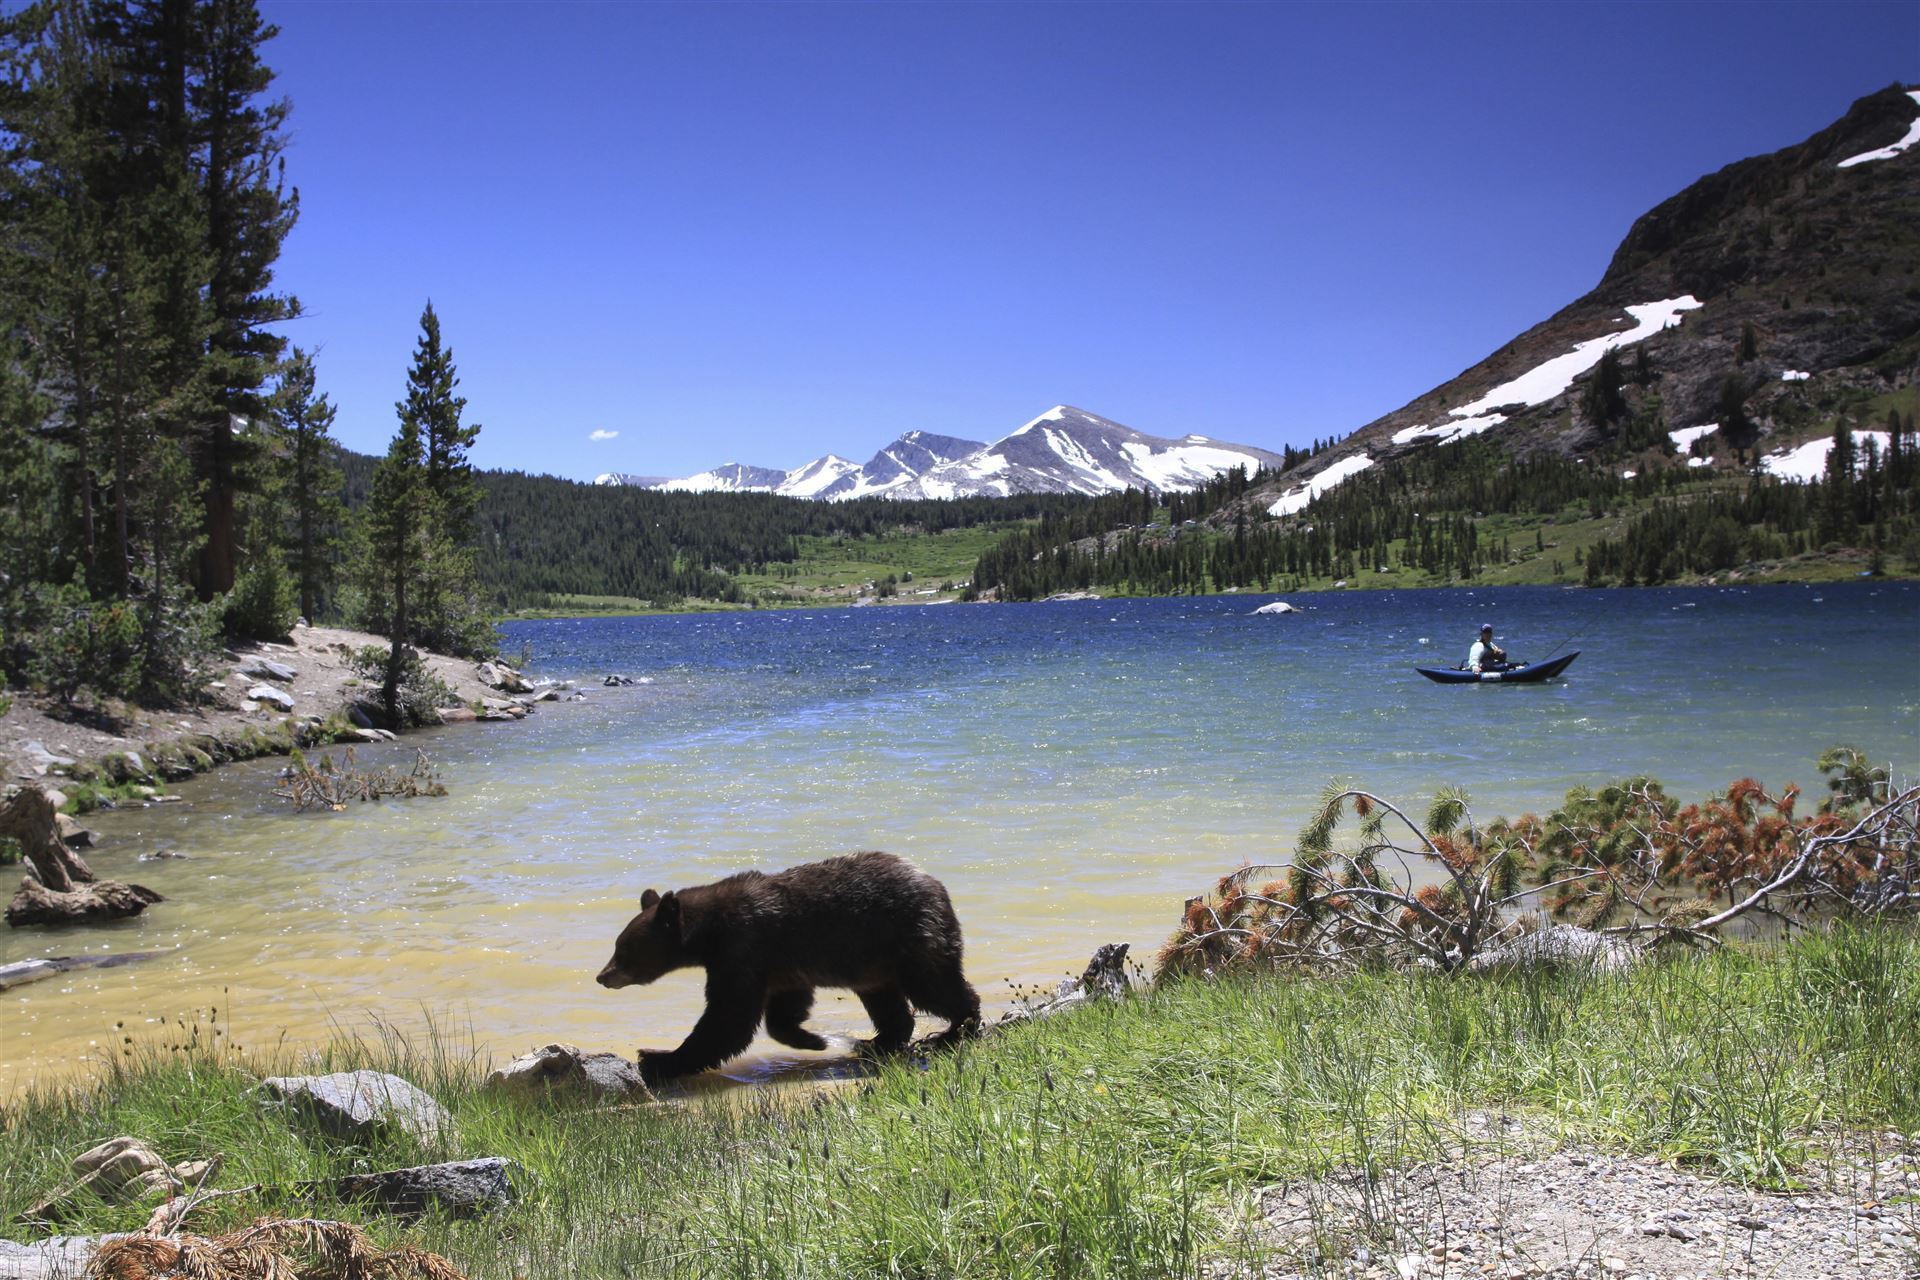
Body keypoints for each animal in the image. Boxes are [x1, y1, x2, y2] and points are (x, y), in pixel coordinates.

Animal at [596, 850, 981, 1085]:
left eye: (623, 948)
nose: (602, 976)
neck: (709, 932)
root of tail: (937, 885)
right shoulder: (778, 963)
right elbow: (783, 1007)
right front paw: (813, 1039)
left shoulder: (743, 949)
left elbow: (728, 1017)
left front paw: (658, 1057)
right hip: (873, 961)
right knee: (887, 1001)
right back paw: (876, 1043)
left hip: (909, 936)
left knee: (933, 985)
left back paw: (954, 1030)